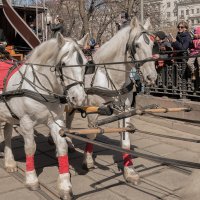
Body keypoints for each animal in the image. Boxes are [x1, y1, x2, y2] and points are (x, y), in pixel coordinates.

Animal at [0, 33, 87, 199]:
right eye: (63, 64)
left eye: (86, 64)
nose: (79, 98)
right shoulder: (26, 122)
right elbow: (30, 148)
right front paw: (31, 179)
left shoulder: (56, 121)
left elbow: (62, 147)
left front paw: (65, 186)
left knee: (7, 132)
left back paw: (9, 162)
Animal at [67, 17, 158, 184]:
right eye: (137, 45)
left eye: (152, 45)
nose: (151, 76)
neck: (110, 76)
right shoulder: (92, 111)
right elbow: (92, 134)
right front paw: (88, 161)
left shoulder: (125, 110)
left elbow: (125, 139)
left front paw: (129, 171)